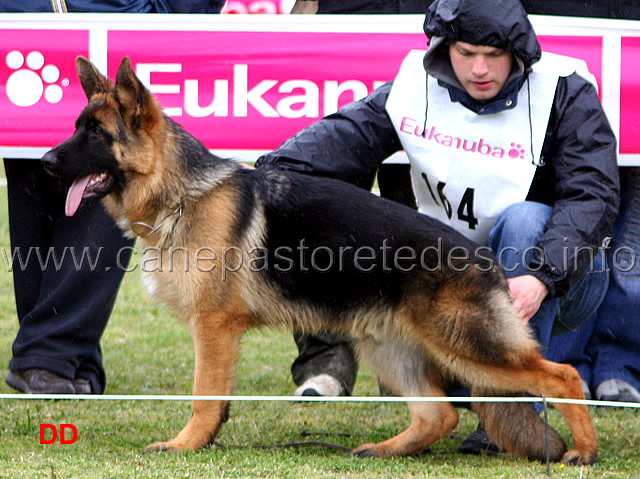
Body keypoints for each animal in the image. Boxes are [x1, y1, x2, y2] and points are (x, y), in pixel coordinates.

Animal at [42, 56, 596, 464]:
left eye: (96, 135)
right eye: (75, 127)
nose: (46, 163)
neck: (181, 193)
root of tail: (486, 262)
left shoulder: (214, 328)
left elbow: (204, 396)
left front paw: (187, 444)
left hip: (466, 345)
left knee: (563, 375)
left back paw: (585, 452)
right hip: (391, 347)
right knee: (438, 414)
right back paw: (384, 450)